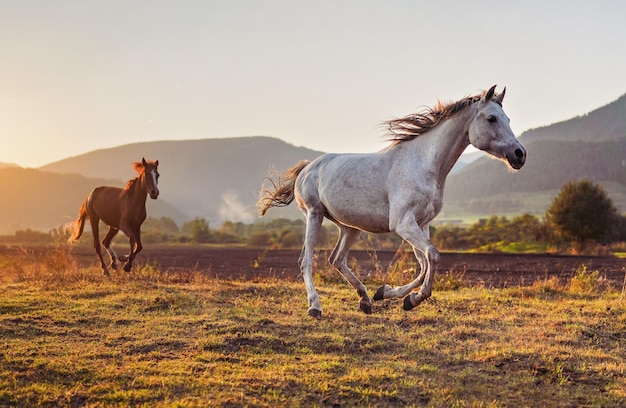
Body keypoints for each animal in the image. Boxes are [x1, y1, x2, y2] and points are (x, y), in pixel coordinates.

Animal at [256, 84, 524, 318]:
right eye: (492, 118)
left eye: (509, 119)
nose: (519, 154)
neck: (422, 164)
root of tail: (307, 167)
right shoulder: (403, 223)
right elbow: (432, 256)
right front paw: (410, 299)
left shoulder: (421, 223)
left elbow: (424, 263)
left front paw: (390, 294)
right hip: (314, 214)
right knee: (306, 260)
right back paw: (315, 307)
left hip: (349, 227)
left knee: (337, 259)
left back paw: (365, 300)